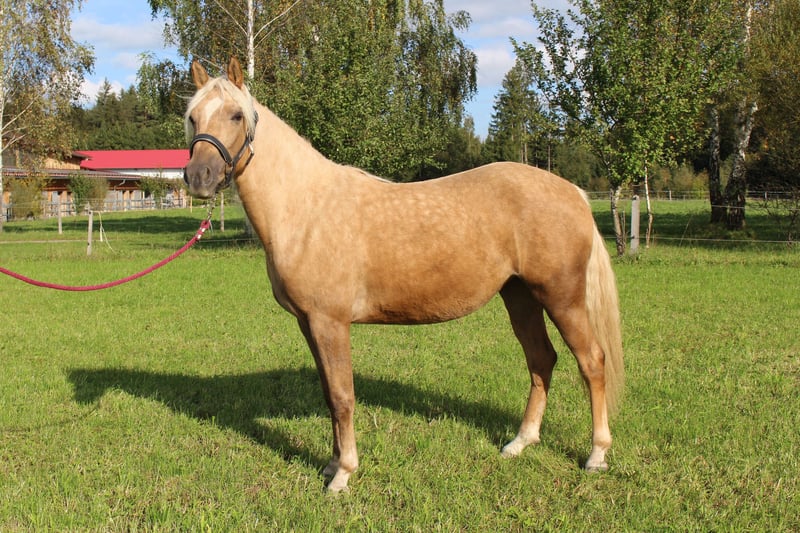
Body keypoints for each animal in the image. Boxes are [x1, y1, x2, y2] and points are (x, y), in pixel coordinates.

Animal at [183, 58, 624, 492]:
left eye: (236, 115)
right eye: (192, 117)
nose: (199, 176)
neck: (307, 208)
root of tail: (573, 193)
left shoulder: (330, 322)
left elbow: (343, 396)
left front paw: (343, 474)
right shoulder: (309, 323)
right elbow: (328, 394)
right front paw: (330, 464)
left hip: (562, 298)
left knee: (592, 362)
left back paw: (596, 455)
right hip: (520, 296)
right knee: (541, 359)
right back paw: (521, 442)